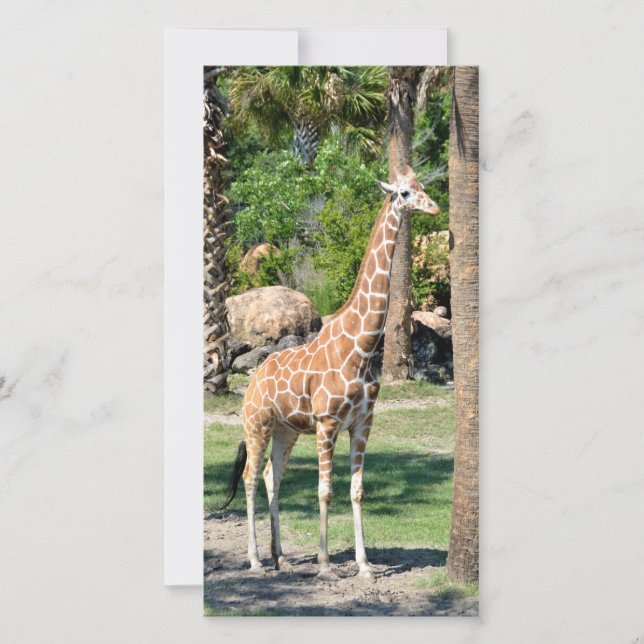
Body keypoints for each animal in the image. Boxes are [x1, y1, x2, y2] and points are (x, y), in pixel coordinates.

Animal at [219, 165, 440, 582]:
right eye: (404, 193)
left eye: (422, 188)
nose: (434, 208)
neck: (364, 347)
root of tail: (253, 378)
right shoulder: (326, 422)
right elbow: (325, 492)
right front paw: (325, 566)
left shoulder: (362, 423)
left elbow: (356, 491)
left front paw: (365, 565)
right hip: (256, 424)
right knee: (251, 477)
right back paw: (256, 561)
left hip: (286, 430)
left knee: (272, 476)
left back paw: (280, 556)